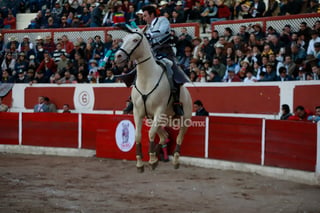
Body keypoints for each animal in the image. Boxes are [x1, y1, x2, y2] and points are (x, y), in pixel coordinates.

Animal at [114, 25, 191, 172]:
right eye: (124, 39)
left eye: (135, 39)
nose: (118, 56)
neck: (146, 79)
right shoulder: (138, 112)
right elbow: (138, 136)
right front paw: (140, 163)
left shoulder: (158, 110)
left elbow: (150, 134)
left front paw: (151, 160)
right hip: (154, 119)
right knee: (164, 137)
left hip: (185, 118)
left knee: (179, 138)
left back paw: (175, 161)